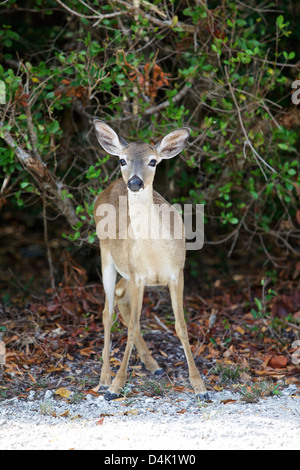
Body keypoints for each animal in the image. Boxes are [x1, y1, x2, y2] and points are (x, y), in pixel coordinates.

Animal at [93, 120, 209, 400]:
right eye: (122, 160)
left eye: (153, 161)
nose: (135, 182)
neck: (156, 253)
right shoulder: (138, 276)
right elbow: (134, 326)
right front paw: (115, 386)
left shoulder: (177, 272)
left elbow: (181, 325)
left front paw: (200, 387)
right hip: (106, 255)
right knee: (107, 311)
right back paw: (104, 379)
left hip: (126, 270)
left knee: (119, 298)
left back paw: (153, 365)